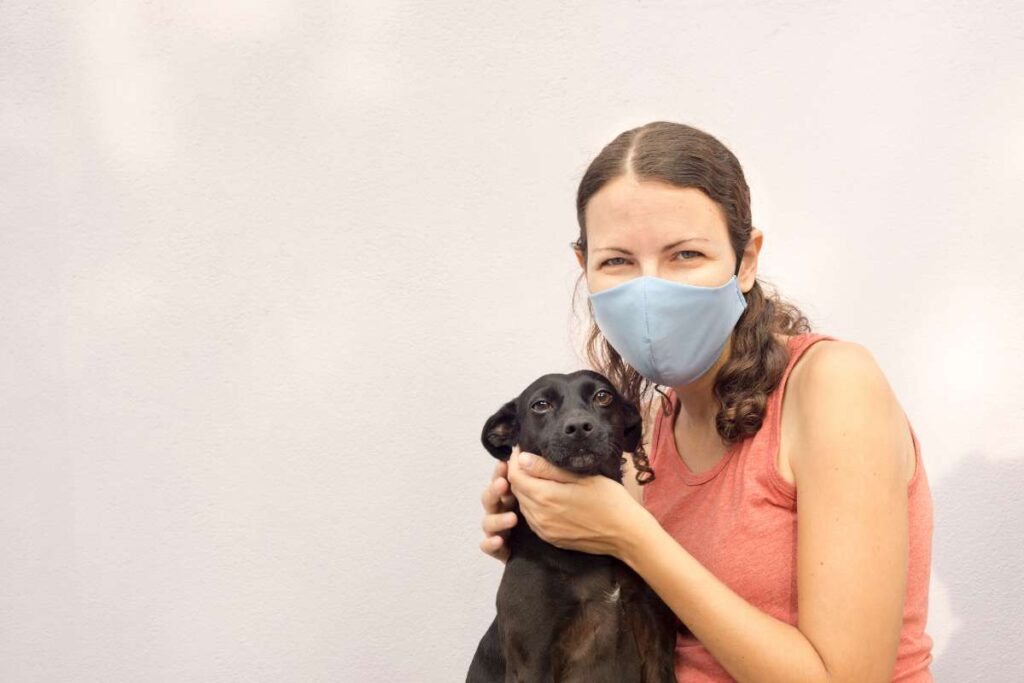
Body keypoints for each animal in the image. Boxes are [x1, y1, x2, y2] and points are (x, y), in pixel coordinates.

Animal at [468, 374, 684, 683]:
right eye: (540, 405)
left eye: (603, 396)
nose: (579, 427)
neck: (592, 555)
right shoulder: (532, 662)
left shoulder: (657, 647)